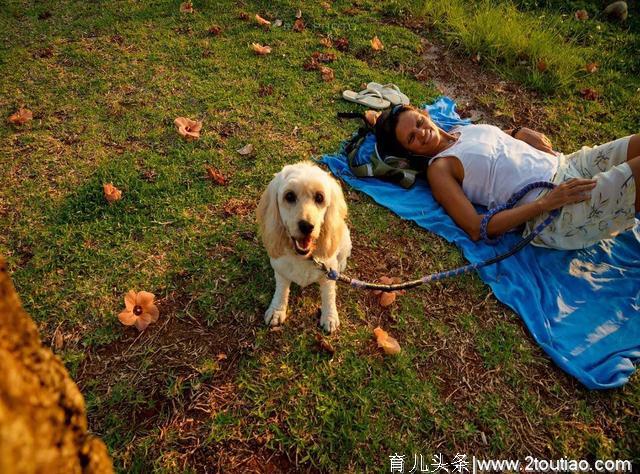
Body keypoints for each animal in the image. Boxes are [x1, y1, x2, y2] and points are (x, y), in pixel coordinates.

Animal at [258, 163, 352, 334]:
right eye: (289, 196)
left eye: (319, 197)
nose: (307, 226)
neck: (304, 257)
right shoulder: (281, 271)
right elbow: (281, 291)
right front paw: (277, 310)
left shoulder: (328, 275)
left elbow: (329, 296)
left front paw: (329, 316)